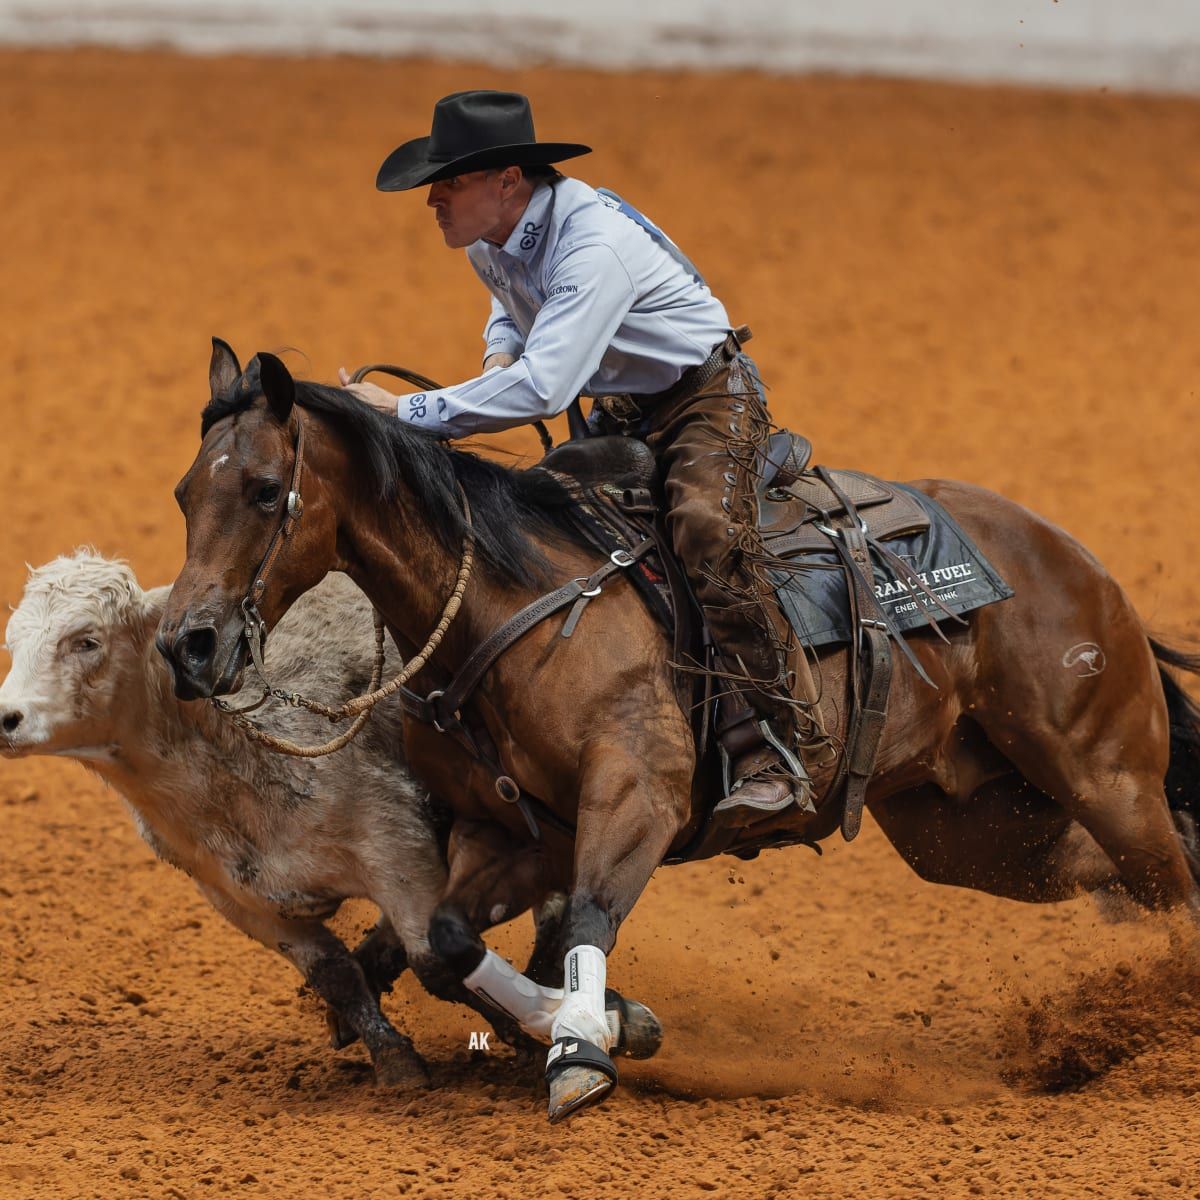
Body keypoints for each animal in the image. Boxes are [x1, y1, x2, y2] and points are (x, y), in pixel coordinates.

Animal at [159, 345, 1200, 1123]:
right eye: (182, 494)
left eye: (264, 490)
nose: (187, 644)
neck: (513, 599)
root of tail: (1078, 562)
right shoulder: (515, 834)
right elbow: (444, 943)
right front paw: (613, 1023)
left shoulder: (636, 799)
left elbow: (581, 920)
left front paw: (585, 1050)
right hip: (978, 831)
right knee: (1120, 875)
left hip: (1104, 775)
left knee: (1173, 886)